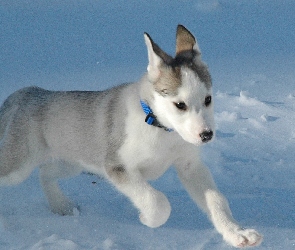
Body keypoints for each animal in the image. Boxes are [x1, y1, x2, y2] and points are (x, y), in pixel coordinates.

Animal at [1, 24, 262, 247]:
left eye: (208, 99)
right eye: (180, 105)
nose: (206, 135)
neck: (159, 128)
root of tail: (24, 93)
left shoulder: (190, 166)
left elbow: (217, 200)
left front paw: (237, 233)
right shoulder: (117, 167)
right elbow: (157, 201)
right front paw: (147, 219)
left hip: (72, 161)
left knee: (45, 173)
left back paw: (61, 206)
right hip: (18, 166)